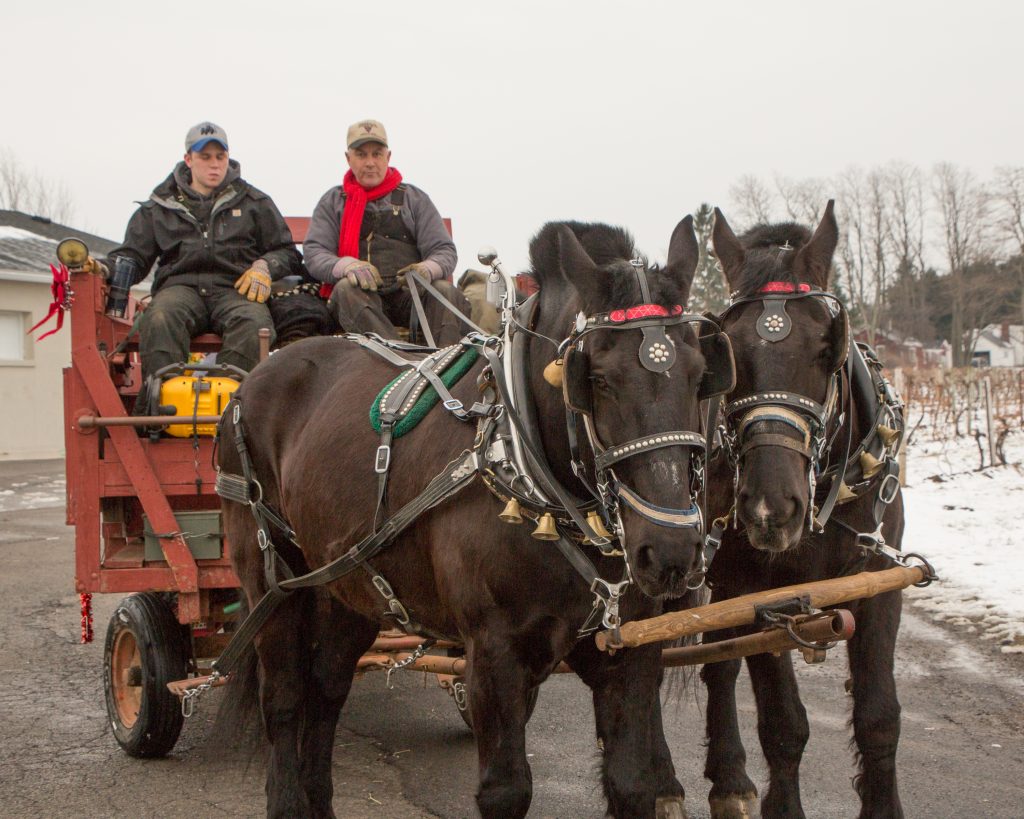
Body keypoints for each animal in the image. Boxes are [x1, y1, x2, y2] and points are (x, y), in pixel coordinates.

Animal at [218, 217, 720, 818]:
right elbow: (506, 790)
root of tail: (256, 374)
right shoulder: (493, 655)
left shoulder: (631, 654)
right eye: (596, 378)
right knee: (285, 700)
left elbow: (632, 782)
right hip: (271, 581)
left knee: (327, 691)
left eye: (701, 375)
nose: (670, 550)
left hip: (346, 586)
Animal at [700, 199, 909, 818]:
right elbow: (784, 725)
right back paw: (728, 777)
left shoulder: (881, 583)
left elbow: (879, 718)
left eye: (826, 347)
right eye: (727, 349)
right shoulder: (759, 595)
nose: (771, 508)